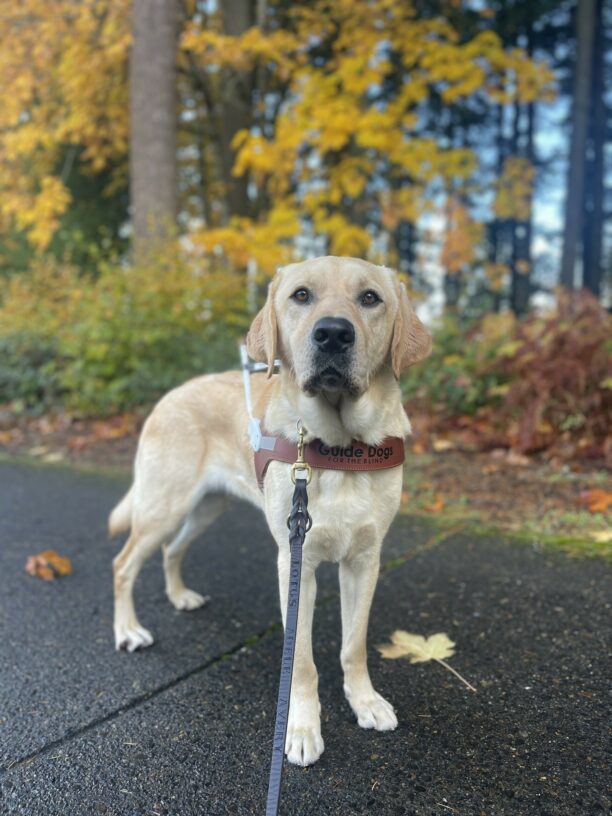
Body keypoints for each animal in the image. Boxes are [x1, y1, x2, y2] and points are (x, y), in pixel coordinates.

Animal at [109, 255, 430, 764]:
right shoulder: (296, 563)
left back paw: (179, 596)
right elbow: (302, 662)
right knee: (124, 564)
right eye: (301, 295)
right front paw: (300, 730)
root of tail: (172, 394)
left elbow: (353, 645)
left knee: (171, 550)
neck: (339, 448)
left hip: (206, 508)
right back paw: (128, 630)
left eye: (370, 298)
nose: (333, 334)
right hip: (165, 504)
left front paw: (364, 702)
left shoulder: (364, 561)